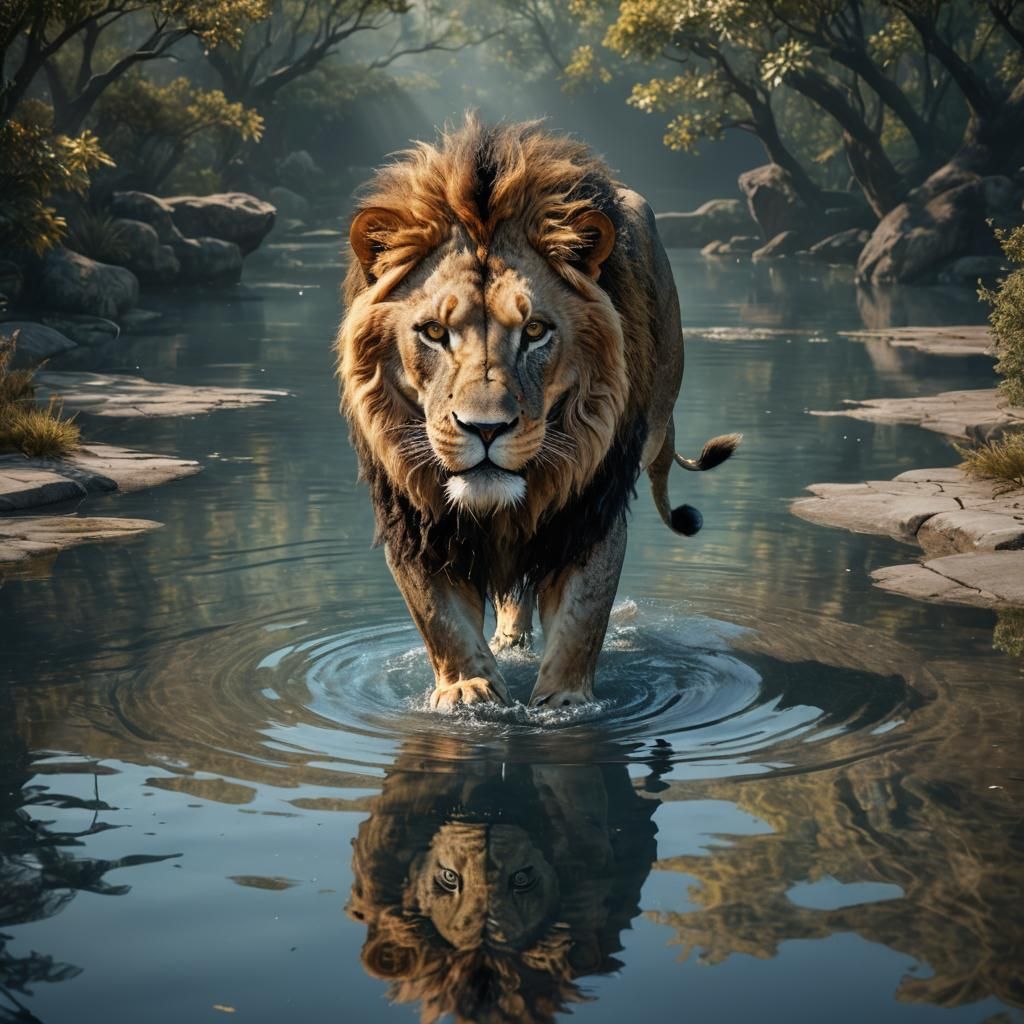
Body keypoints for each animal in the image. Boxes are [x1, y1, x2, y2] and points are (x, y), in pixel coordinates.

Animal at [336, 116, 738, 710]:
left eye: (534, 331)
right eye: (434, 332)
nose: (486, 429)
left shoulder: (590, 510)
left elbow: (582, 620)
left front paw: (565, 704)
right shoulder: (415, 520)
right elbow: (440, 620)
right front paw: (469, 692)